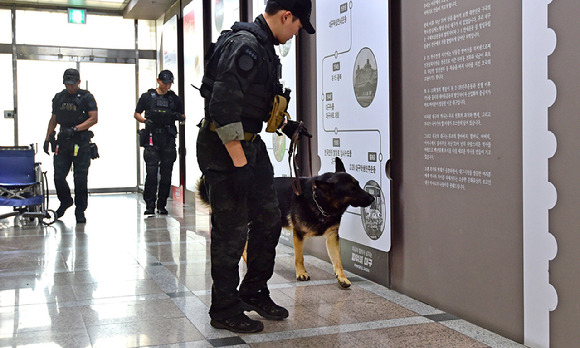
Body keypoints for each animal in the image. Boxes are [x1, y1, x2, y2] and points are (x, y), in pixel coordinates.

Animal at [197, 158, 374, 288]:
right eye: (351, 190)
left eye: (358, 185)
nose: (373, 198)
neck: (319, 201)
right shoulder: (298, 234)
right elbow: (299, 257)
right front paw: (301, 273)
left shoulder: (332, 237)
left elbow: (338, 260)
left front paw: (342, 277)